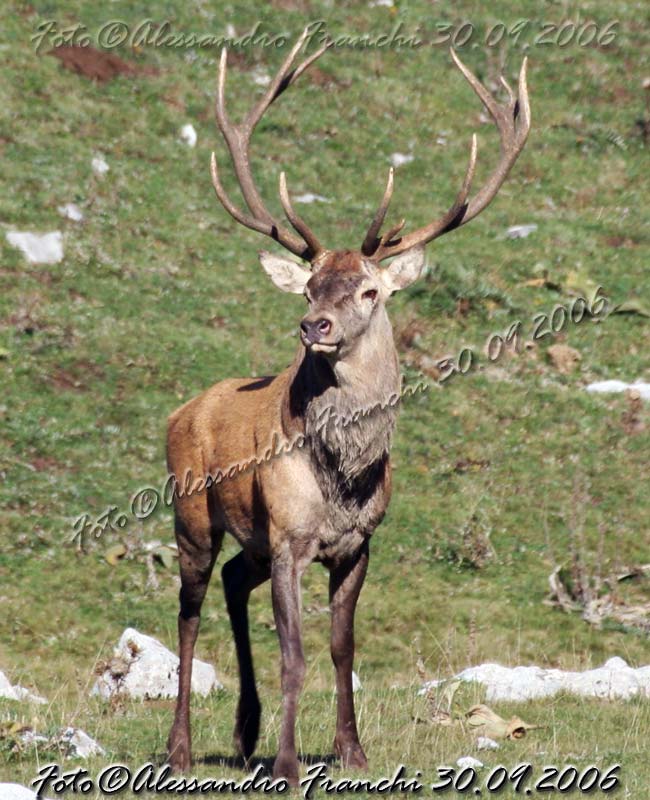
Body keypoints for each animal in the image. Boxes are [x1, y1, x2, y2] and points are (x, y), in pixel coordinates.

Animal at [165, 27, 530, 783]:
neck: (343, 480)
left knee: (232, 583)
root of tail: (179, 413)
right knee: (188, 611)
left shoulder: (358, 543)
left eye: (369, 290)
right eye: (308, 287)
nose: (314, 326)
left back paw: (243, 730)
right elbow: (295, 655)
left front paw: (352, 751)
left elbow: (342, 649)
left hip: (250, 538)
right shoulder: (289, 540)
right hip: (192, 515)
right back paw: (182, 748)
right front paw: (287, 764)